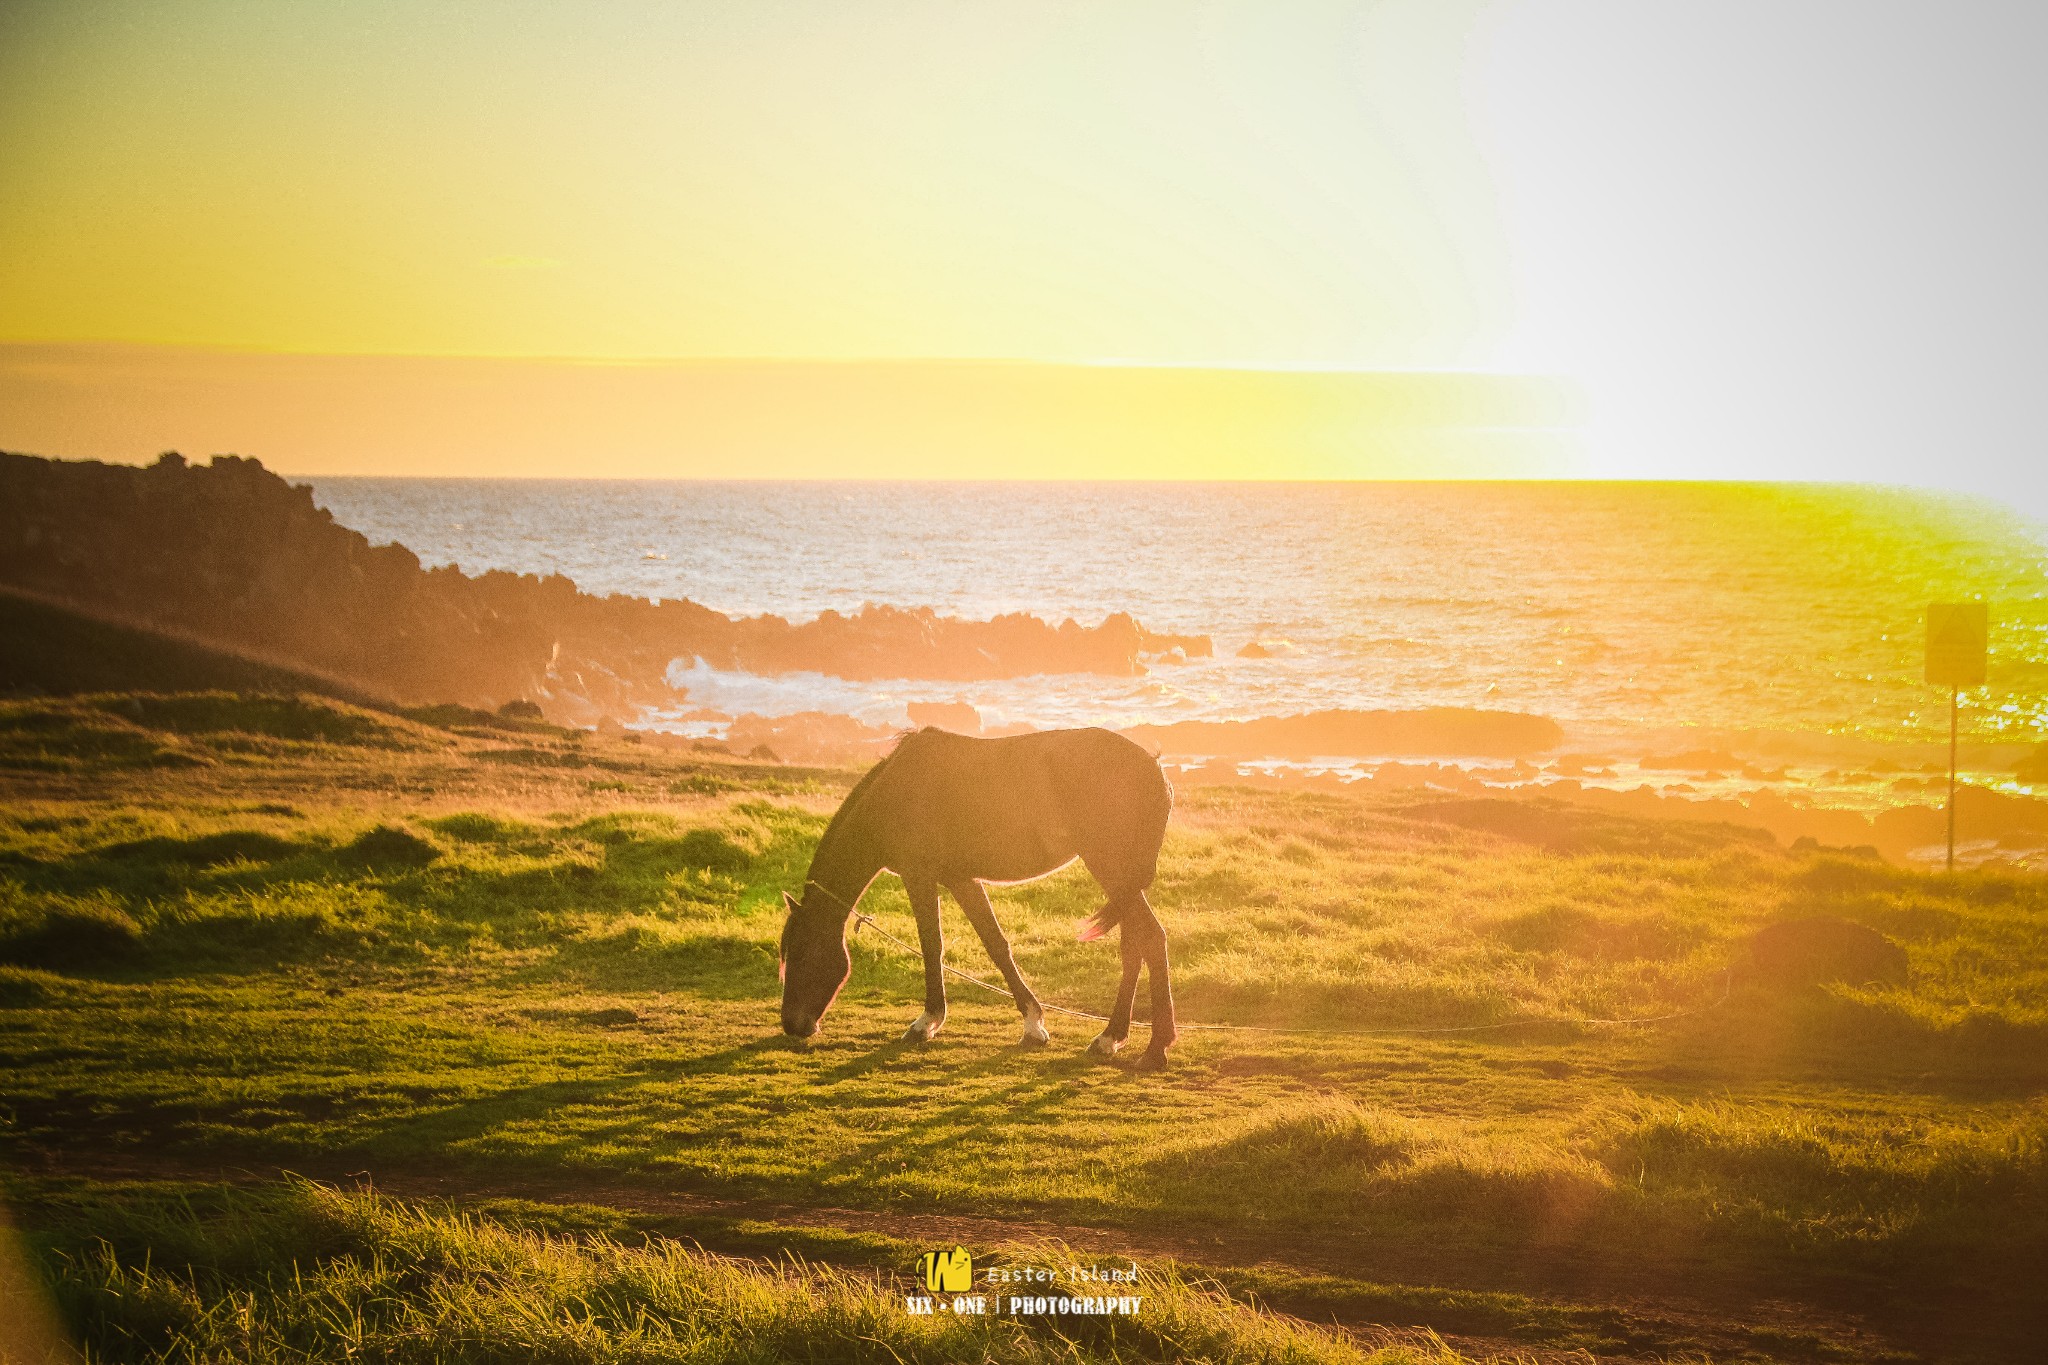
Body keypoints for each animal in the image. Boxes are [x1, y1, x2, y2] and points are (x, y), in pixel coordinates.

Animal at [774, 732, 1179, 1072]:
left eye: (801, 955)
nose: (792, 1025)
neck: (893, 794)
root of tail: (1156, 769)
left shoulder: (919, 876)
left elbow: (932, 945)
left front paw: (926, 1022)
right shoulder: (961, 879)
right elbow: (995, 945)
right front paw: (1033, 1024)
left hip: (1110, 868)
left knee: (1151, 938)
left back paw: (1155, 1048)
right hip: (1120, 881)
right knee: (1134, 946)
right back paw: (1112, 1037)